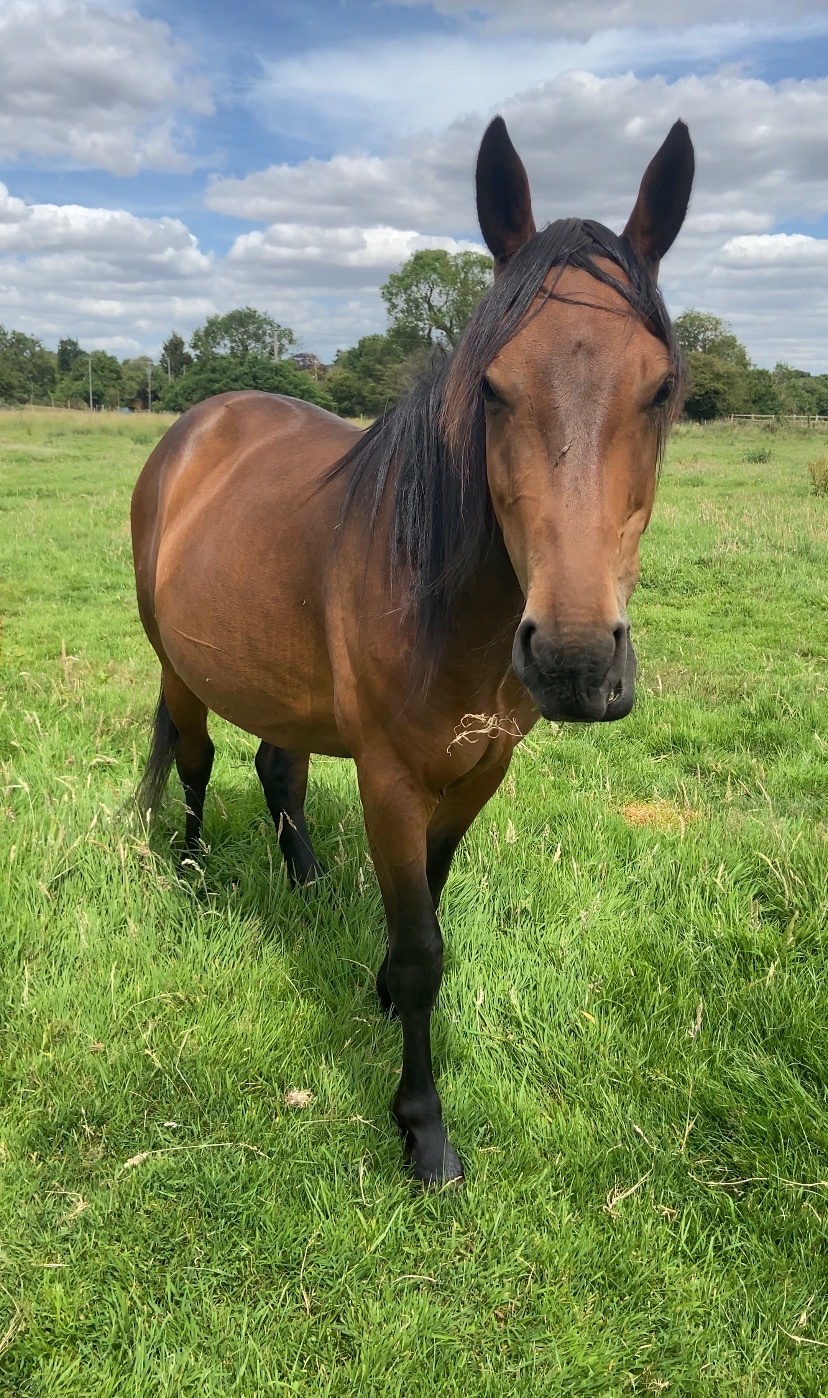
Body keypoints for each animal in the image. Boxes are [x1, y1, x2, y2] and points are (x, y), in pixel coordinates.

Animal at [131, 114, 694, 1186]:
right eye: (493, 387)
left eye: (661, 390)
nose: (573, 661)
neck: (450, 611)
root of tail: (200, 422)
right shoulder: (391, 779)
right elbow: (425, 948)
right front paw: (424, 1130)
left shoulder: (478, 773)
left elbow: (425, 908)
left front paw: (382, 992)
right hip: (181, 670)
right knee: (195, 760)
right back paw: (188, 870)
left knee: (278, 767)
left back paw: (305, 882)